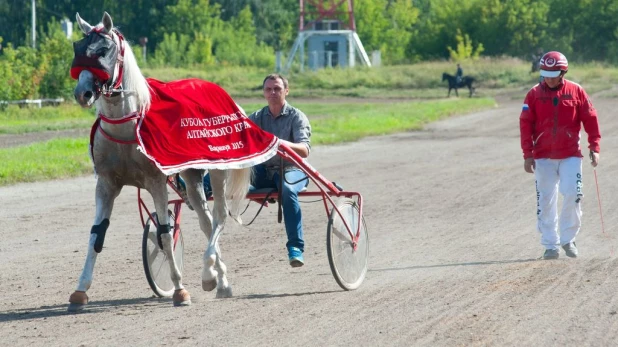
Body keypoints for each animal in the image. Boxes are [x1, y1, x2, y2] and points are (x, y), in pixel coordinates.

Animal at [68, 12, 250, 314]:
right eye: (78, 49)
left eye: (103, 51)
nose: (82, 93)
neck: (126, 127)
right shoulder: (106, 184)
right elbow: (96, 235)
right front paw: (80, 290)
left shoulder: (156, 182)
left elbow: (165, 234)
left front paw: (179, 289)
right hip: (191, 176)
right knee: (206, 220)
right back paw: (219, 279)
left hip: (218, 168)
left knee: (219, 217)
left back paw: (209, 273)